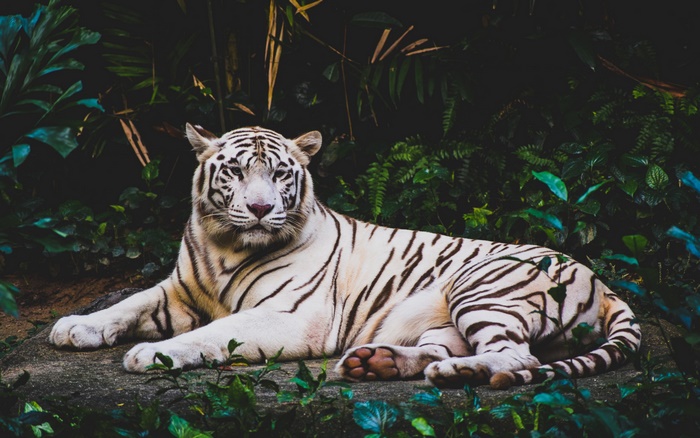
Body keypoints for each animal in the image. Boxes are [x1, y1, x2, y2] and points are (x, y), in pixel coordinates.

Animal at [49, 124, 642, 389]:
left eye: (280, 174)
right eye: (235, 172)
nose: (261, 208)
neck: (225, 245)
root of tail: (604, 283)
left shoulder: (291, 316)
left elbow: (212, 333)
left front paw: (153, 354)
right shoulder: (178, 289)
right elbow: (127, 302)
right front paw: (75, 327)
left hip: (482, 287)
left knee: (519, 357)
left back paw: (458, 373)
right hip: (446, 317)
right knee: (446, 348)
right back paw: (376, 362)